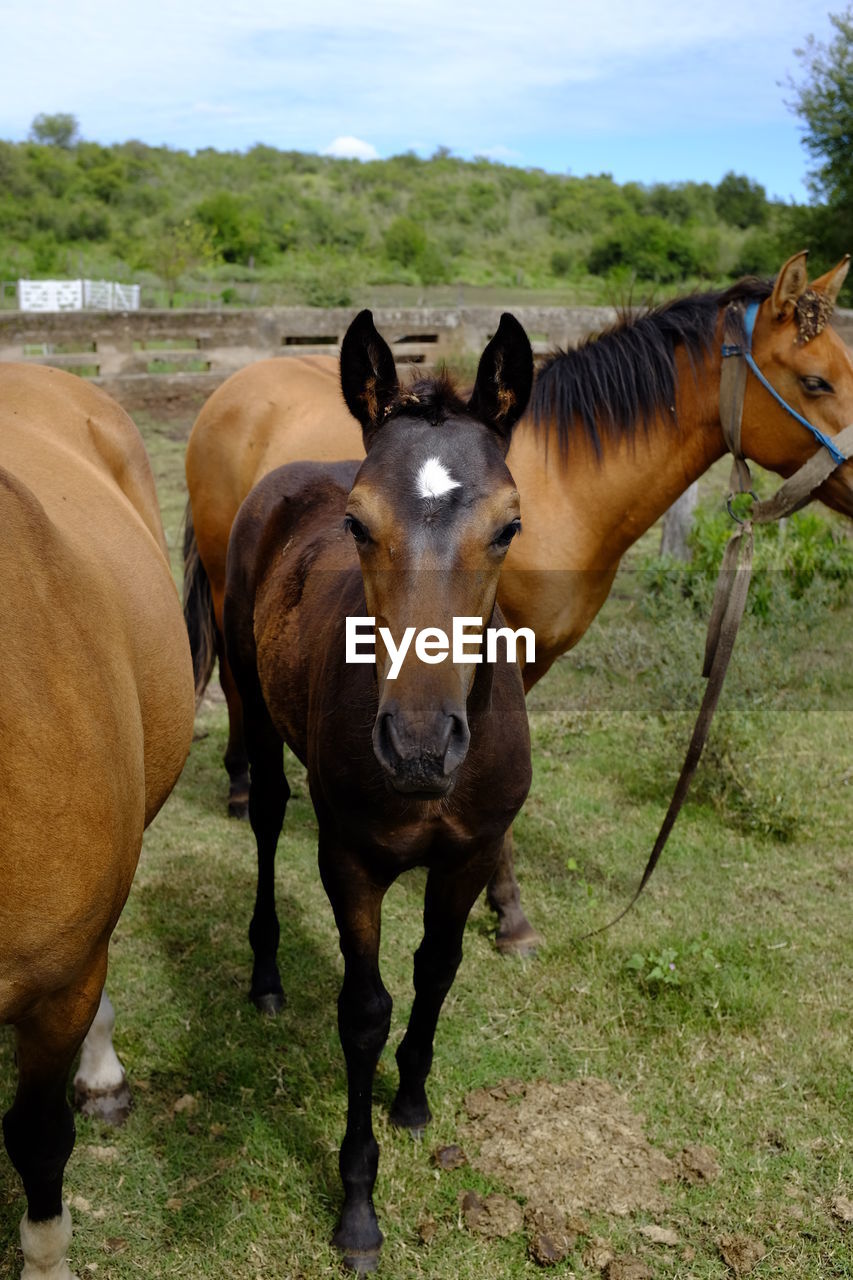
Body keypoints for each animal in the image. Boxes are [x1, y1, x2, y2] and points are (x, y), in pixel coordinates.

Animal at [184, 249, 850, 952]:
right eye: (815, 382)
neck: (567, 485)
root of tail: (230, 389)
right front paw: (510, 914)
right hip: (226, 588)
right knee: (232, 680)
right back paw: (239, 785)